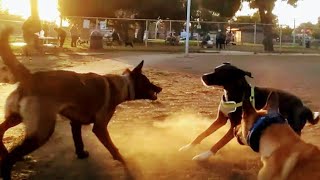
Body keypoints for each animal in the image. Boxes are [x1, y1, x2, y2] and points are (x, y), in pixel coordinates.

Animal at [0, 28, 161, 179]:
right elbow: (113, 148)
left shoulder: (75, 122)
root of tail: (30, 77)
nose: (160, 88)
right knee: (9, 159)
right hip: (41, 132)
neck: (122, 85)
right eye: (147, 82)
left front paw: (81, 153)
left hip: (15, 118)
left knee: (1, 130)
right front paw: (124, 161)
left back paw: (3, 150)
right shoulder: (100, 128)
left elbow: (78, 141)